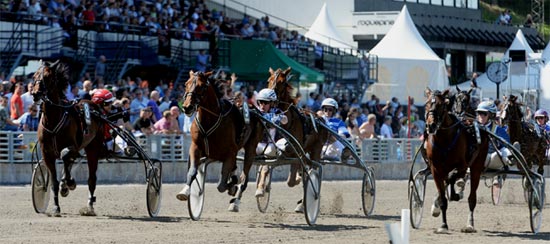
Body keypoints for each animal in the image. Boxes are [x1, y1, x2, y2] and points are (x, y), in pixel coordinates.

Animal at [31, 60, 105, 216]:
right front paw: (56, 207)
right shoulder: (47, 154)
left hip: (93, 148)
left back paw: (89, 206)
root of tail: (94, 105)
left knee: (91, 179)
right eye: (34, 76)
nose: (35, 93)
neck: (53, 119)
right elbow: (54, 182)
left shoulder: (72, 146)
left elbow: (65, 154)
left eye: (48, 77)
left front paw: (68, 183)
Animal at [176, 70, 264, 212]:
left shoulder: (229, 154)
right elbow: (192, 171)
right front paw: (184, 192)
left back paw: (235, 201)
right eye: (186, 84)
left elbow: (221, 185)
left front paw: (232, 187)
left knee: (244, 178)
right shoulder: (195, 147)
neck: (210, 120)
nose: (187, 107)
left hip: (250, 148)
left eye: (201, 86)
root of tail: (254, 110)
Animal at [424, 89, 490, 233]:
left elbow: (452, 177)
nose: (431, 125)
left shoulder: (463, 166)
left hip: (477, 166)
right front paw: (443, 224)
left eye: (441, 105)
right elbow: (443, 198)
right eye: (427, 104)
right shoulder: (435, 170)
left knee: (472, 198)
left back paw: (469, 224)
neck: (444, 139)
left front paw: (455, 193)